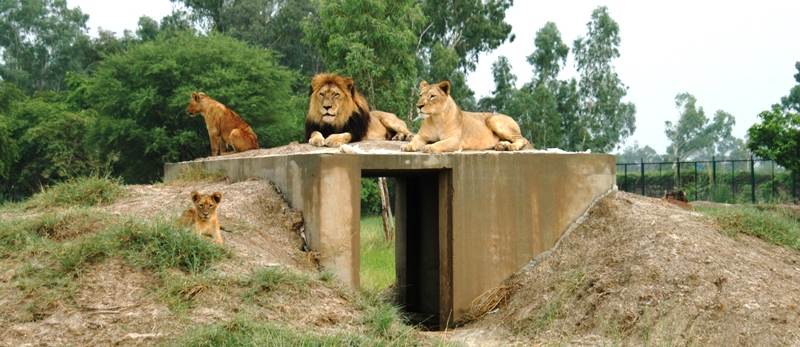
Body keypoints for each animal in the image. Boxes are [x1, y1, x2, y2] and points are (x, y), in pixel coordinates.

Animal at [400, 81, 532, 154]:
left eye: (432, 96)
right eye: (420, 95)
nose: (419, 106)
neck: (436, 118)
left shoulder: (455, 140)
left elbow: (440, 144)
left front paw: (429, 147)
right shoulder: (422, 136)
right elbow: (414, 140)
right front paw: (407, 146)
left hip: (494, 119)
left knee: (523, 139)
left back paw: (511, 147)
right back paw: (501, 145)